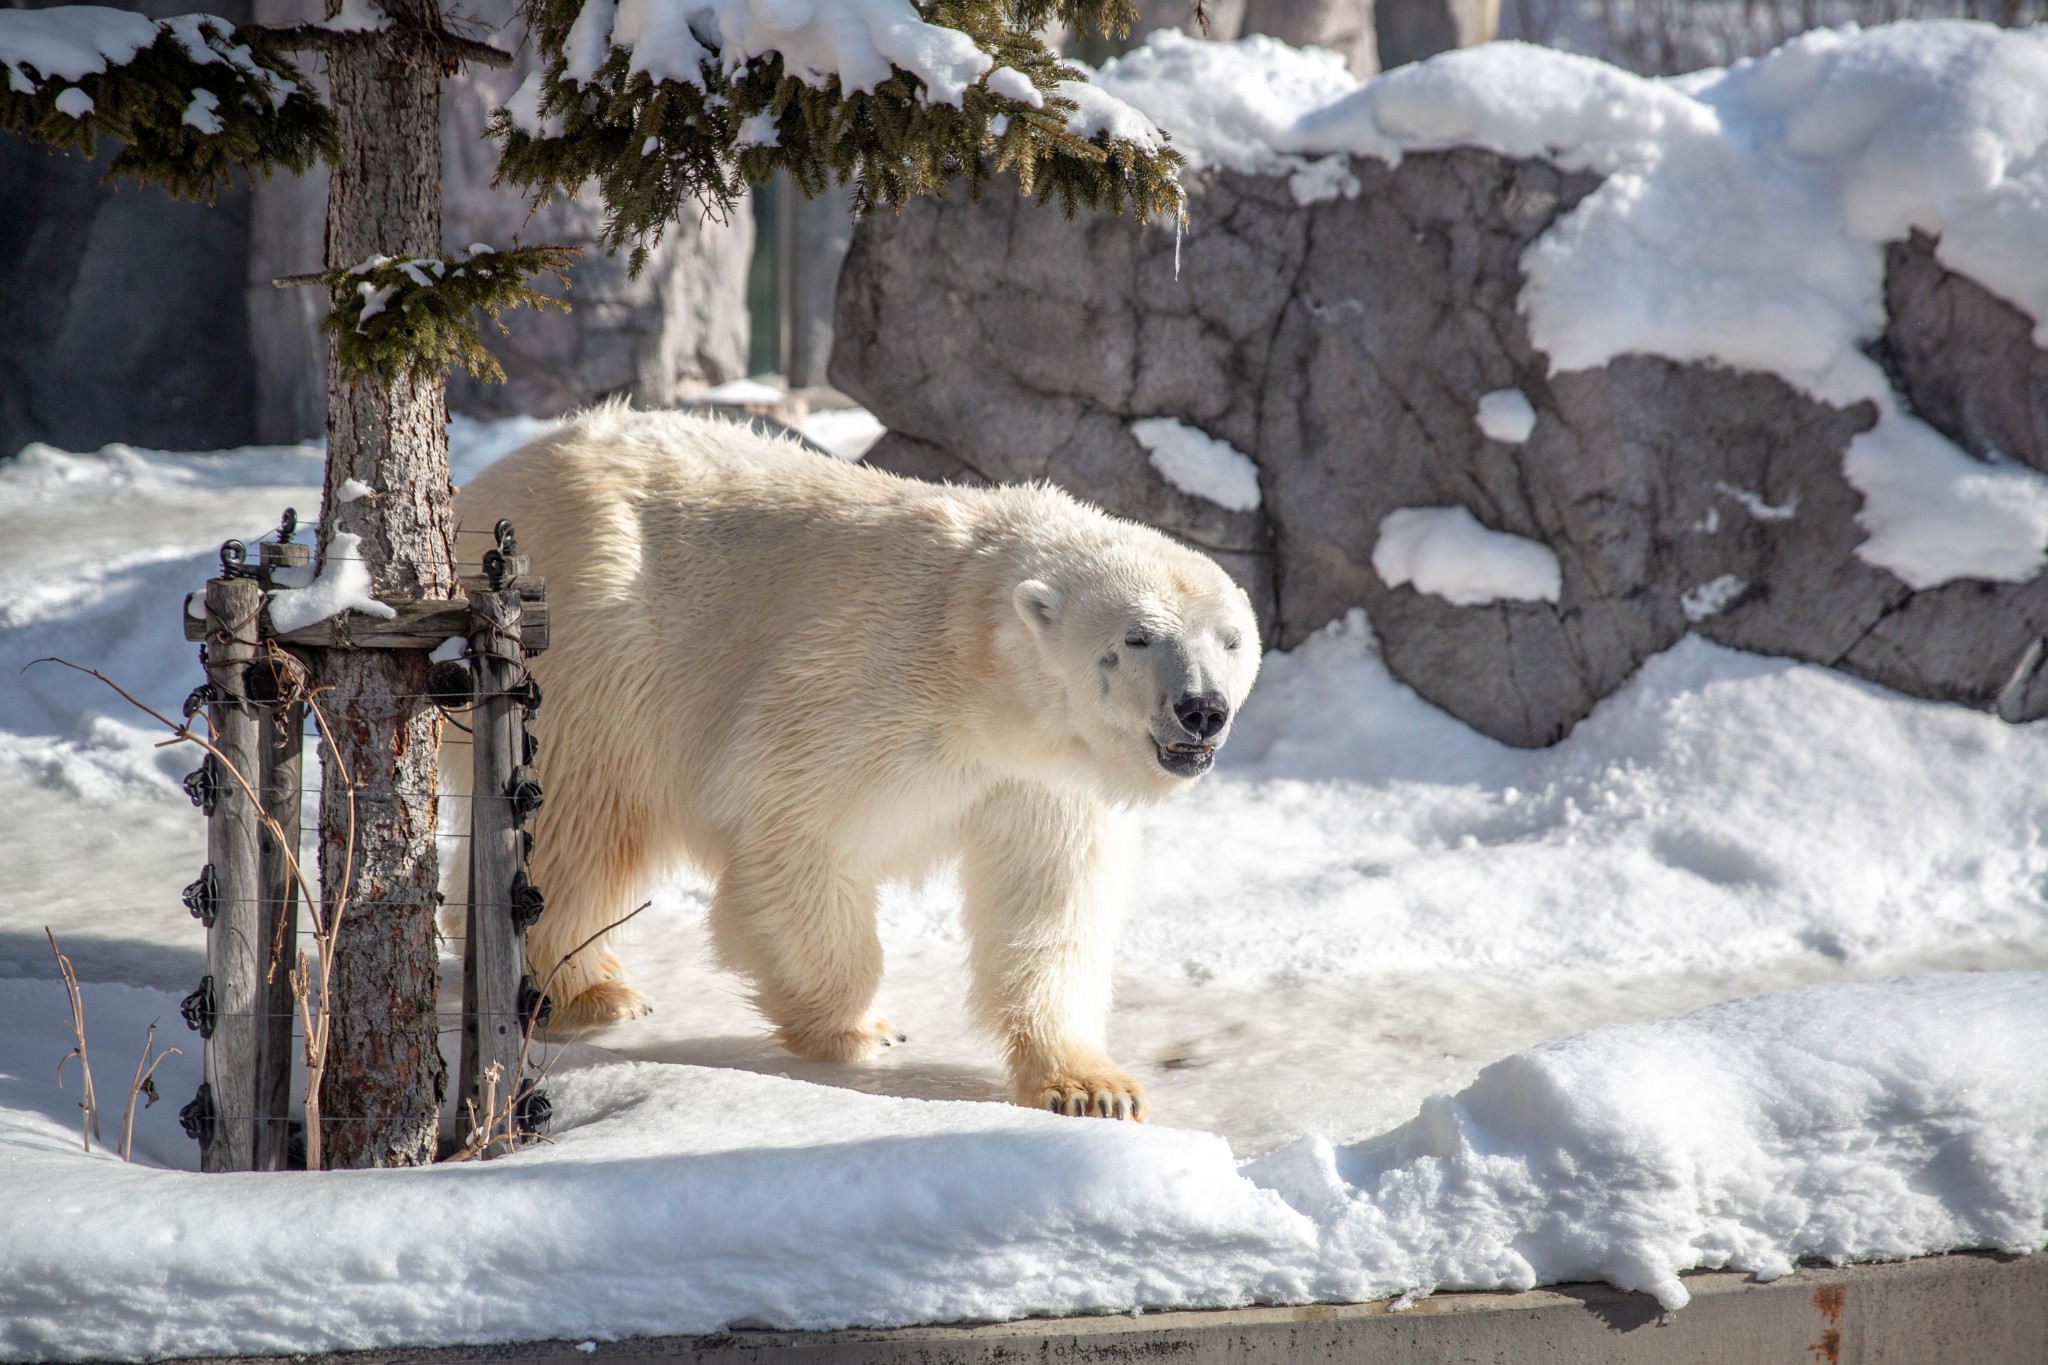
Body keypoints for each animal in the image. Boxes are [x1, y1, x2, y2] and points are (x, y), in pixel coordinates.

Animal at [454, 409, 1253, 1121]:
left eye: (1231, 639)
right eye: (1138, 637)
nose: (1202, 709)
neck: (978, 661)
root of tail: (481, 488)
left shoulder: (1044, 776)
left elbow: (1048, 900)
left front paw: (1093, 1088)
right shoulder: (868, 684)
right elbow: (794, 821)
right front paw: (861, 1028)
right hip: (594, 640)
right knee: (582, 817)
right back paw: (589, 991)